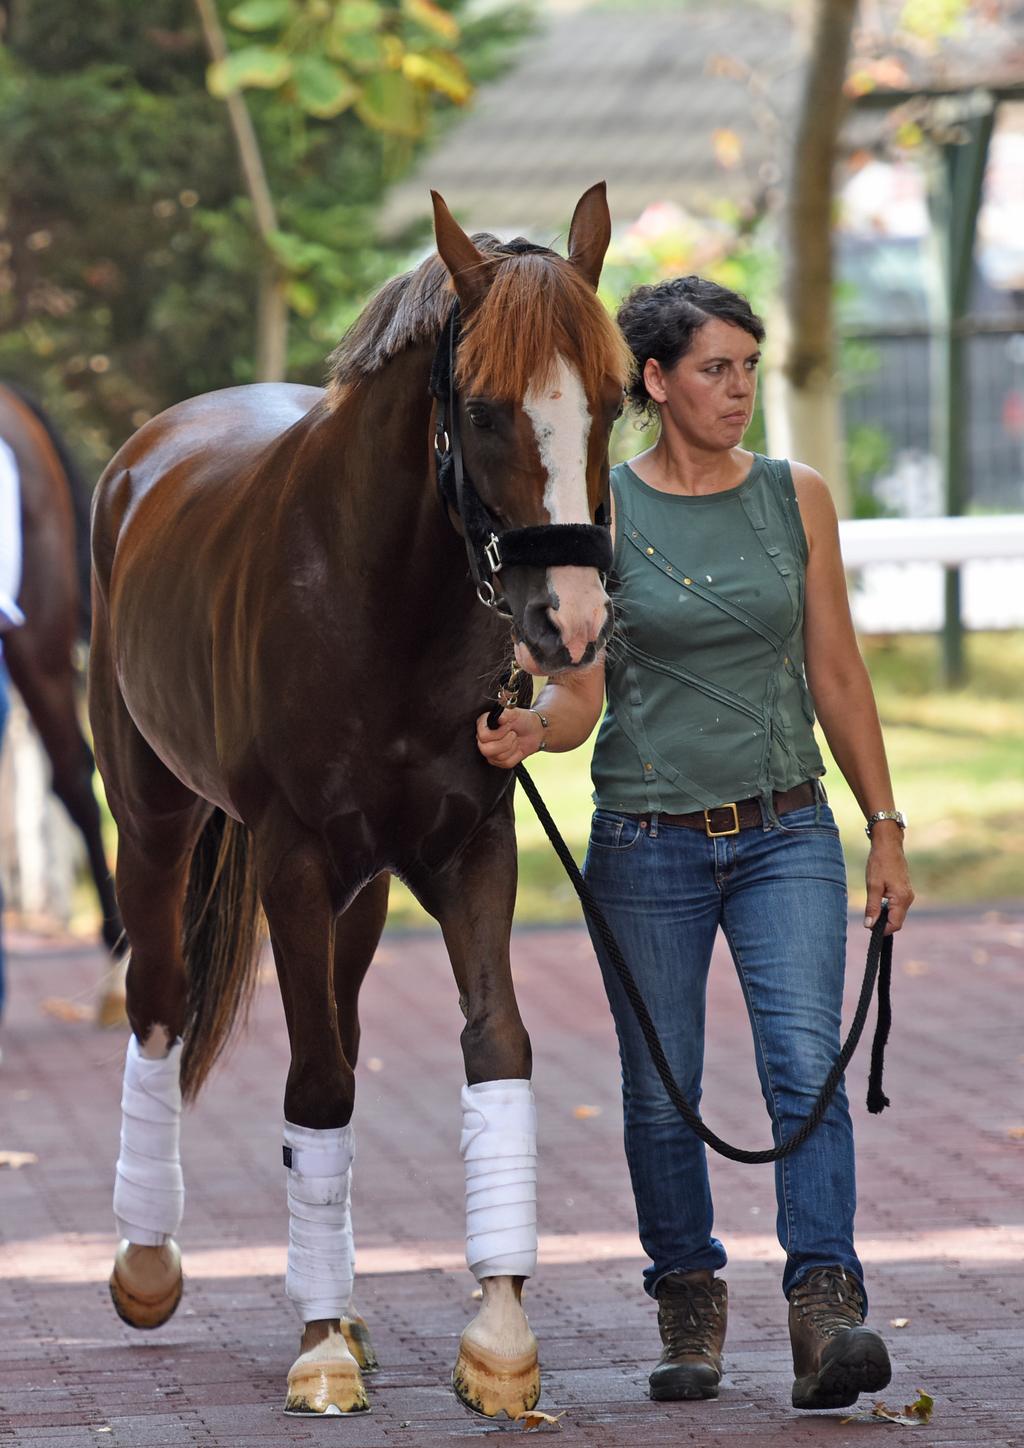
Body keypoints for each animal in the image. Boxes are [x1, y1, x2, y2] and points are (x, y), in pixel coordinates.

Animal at [87, 181, 631, 1413]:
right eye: (481, 410)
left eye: (617, 401)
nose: (569, 623)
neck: (380, 598)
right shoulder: (290, 857)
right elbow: (320, 1080)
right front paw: (322, 1343)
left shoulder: (471, 847)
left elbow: (496, 1046)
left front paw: (497, 1334)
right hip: (153, 819)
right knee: (158, 998)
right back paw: (149, 1264)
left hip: (362, 891)